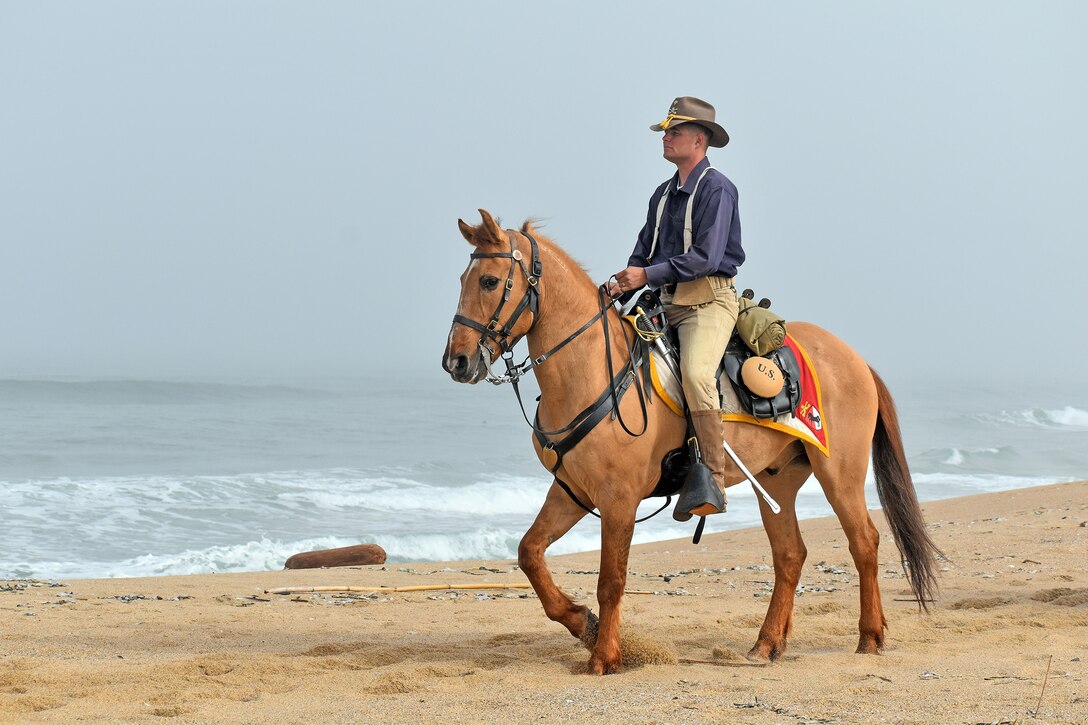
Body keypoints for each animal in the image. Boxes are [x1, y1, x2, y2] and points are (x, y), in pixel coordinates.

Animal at [441, 207, 944, 670]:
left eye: (489, 281)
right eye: (463, 278)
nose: (457, 362)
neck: (595, 371)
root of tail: (854, 358)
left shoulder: (619, 499)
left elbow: (611, 580)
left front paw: (605, 655)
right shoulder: (573, 492)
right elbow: (530, 553)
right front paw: (584, 624)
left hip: (839, 472)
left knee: (864, 542)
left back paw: (871, 637)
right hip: (776, 480)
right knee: (789, 555)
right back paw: (766, 644)